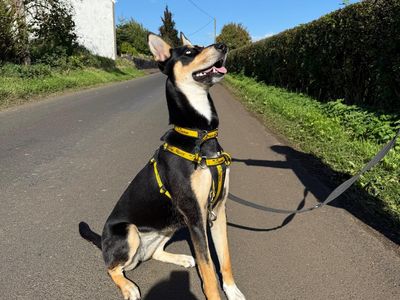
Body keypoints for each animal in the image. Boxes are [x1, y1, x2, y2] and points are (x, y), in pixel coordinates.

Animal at [78, 32, 245, 300]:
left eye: (200, 46)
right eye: (189, 53)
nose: (223, 45)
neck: (201, 136)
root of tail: (102, 241)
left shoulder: (218, 210)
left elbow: (224, 258)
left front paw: (232, 290)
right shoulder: (195, 216)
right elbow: (209, 268)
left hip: (167, 227)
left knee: (153, 254)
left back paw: (182, 259)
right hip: (128, 231)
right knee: (111, 268)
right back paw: (128, 287)